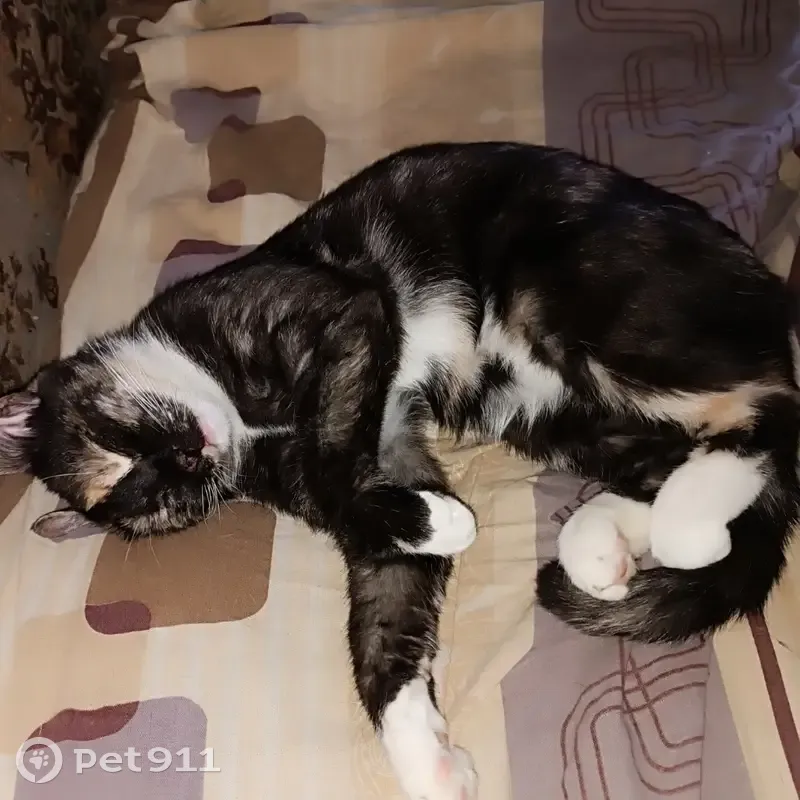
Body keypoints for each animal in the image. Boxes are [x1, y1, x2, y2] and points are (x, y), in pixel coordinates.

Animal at [1, 141, 798, 800]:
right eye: (172, 503)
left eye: (122, 440)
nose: (190, 458)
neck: (245, 422)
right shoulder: (389, 452)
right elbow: (386, 609)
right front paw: (427, 759)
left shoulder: (340, 314)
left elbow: (333, 453)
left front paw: (436, 520)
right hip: (539, 409)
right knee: (700, 472)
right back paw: (612, 546)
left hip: (575, 305)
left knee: (772, 411)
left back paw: (684, 523)